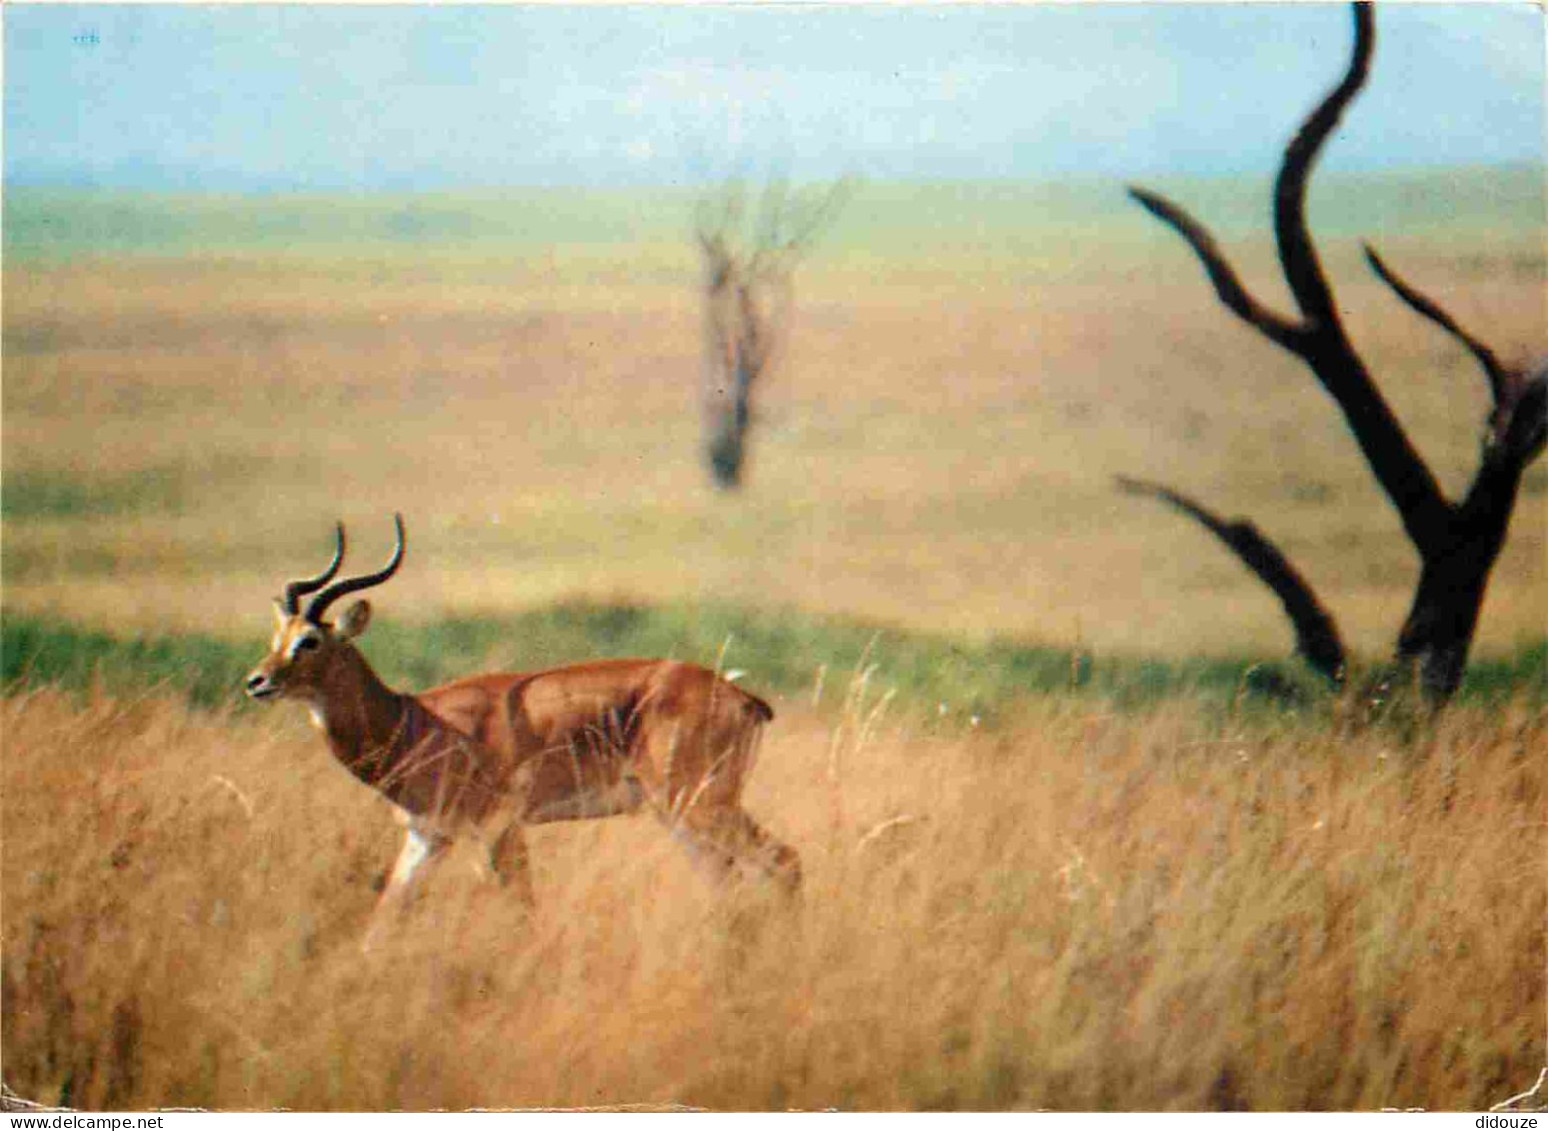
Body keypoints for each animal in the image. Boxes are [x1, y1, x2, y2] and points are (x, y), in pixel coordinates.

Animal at [244, 516, 798, 946]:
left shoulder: (498, 830)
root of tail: (743, 698)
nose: (257, 681)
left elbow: (524, 916)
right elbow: (382, 923)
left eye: (310, 641)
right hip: (679, 816)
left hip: (701, 804)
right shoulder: (427, 836)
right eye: (277, 636)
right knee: (729, 881)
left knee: (783, 862)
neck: (414, 723)